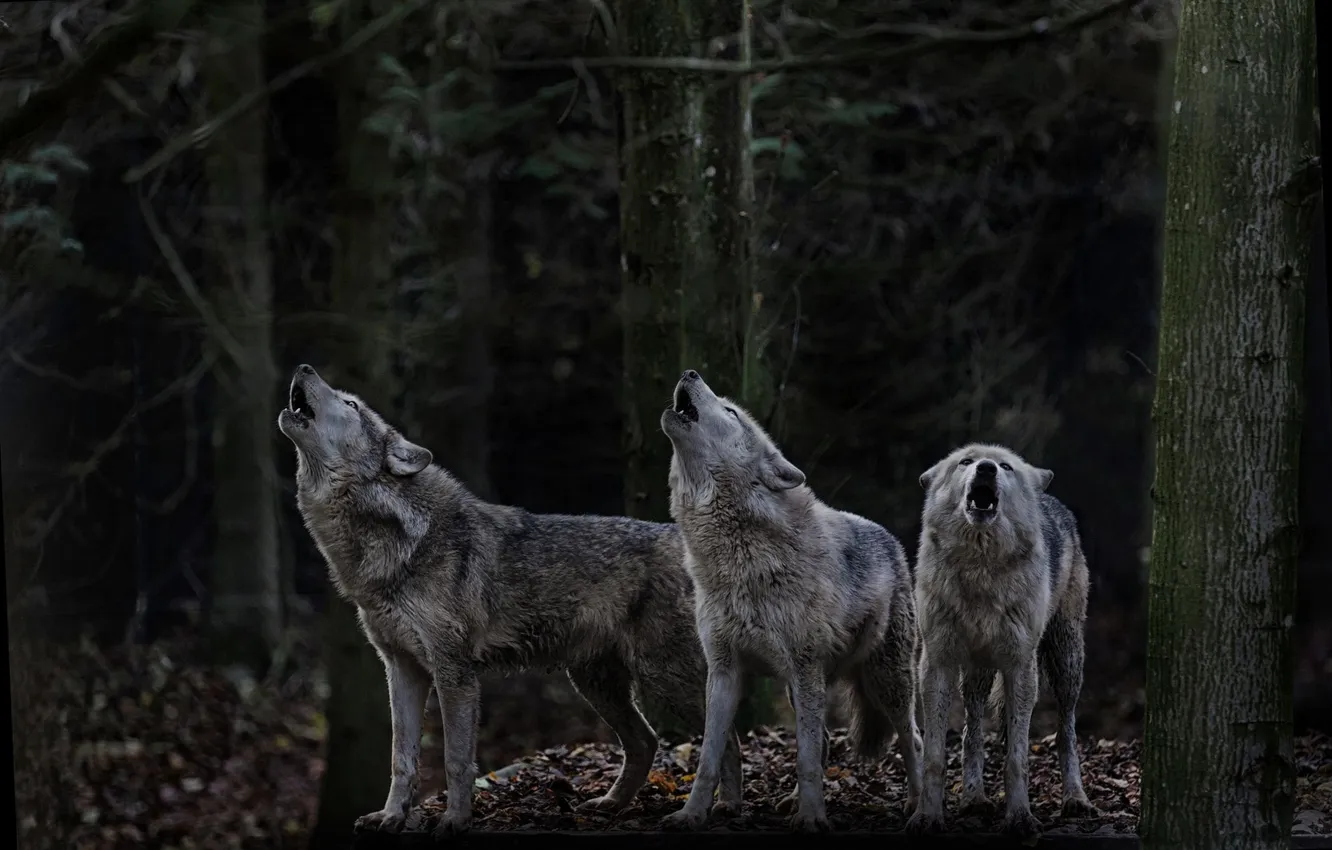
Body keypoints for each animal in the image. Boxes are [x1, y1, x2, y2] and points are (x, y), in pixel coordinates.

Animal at [276, 364, 743, 838]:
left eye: (350, 404)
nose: (304, 367)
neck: (394, 538)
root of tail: (680, 540)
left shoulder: (455, 673)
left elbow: (456, 761)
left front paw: (455, 820)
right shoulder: (401, 669)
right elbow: (402, 759)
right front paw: (391, 817)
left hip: (661, 676)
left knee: (726, 738)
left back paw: (722, 809)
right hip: (594, 682)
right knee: (646, 740)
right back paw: (612, 804)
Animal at [659, 370, 922, 833]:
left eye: (730, 411)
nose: (690, 372)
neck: (737, 559)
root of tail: (890, 539)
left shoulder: (803, 666)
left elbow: (805, 759)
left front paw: (813, 818)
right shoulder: (724, 671)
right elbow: (710, 757)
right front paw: (692, 813)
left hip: (885, 682)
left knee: (914, 740)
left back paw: (919, 806)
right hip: (806, 686)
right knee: (827, 741)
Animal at [906, 443, 1096, 837]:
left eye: (1006, 467)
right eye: (964, 462)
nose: (986, 468)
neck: (981, 570)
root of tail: (1050, 497)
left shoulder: (1020, 666)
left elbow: (1017, 758)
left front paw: (1020, 817)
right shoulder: (936, 664)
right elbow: (934, 756)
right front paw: (927, 817)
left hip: (1066, 662)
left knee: (1066, 732)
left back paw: (1075, 798)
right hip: (976, 673)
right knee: (973, 731)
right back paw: (974, 798)